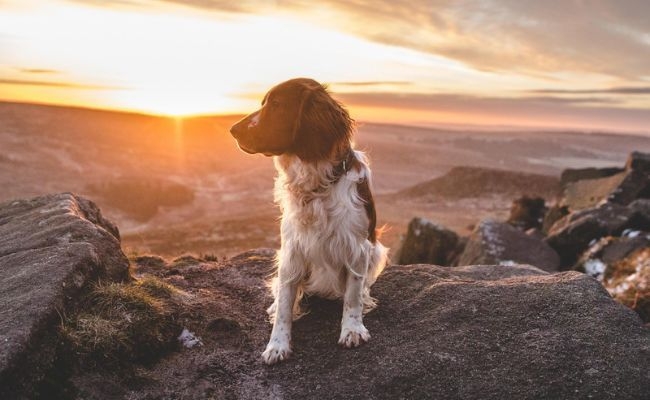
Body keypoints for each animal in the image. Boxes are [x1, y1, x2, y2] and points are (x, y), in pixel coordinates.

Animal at [230, 77, 388, 366]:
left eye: (277, 104)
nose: (233, 129)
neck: (317, 184)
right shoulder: (292, 249)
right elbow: (285, 303)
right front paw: (277, 344)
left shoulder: (357, 247)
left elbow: (352, 295)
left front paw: (352, 329)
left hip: (377, 250)